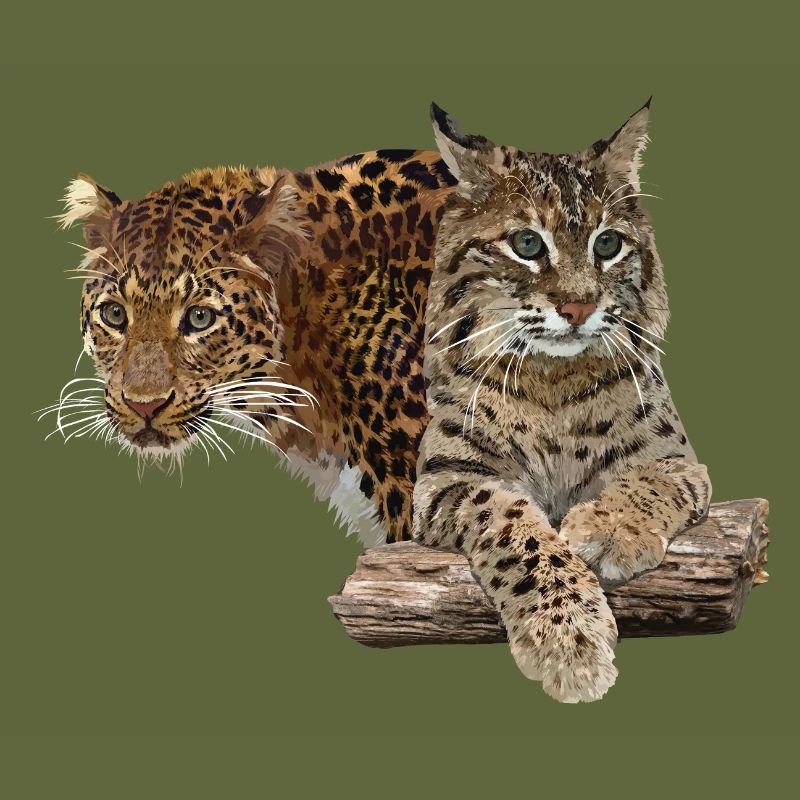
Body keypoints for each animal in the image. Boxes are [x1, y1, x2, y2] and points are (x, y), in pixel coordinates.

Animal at [413, 102, 711, 702]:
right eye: (528, 245)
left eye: (607, 245)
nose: (578, 308)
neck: (552, 376)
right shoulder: (445, 479)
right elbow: (513, 527)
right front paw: (568, 641)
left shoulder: (678, 461)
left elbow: (648, 481)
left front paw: (612, 528)